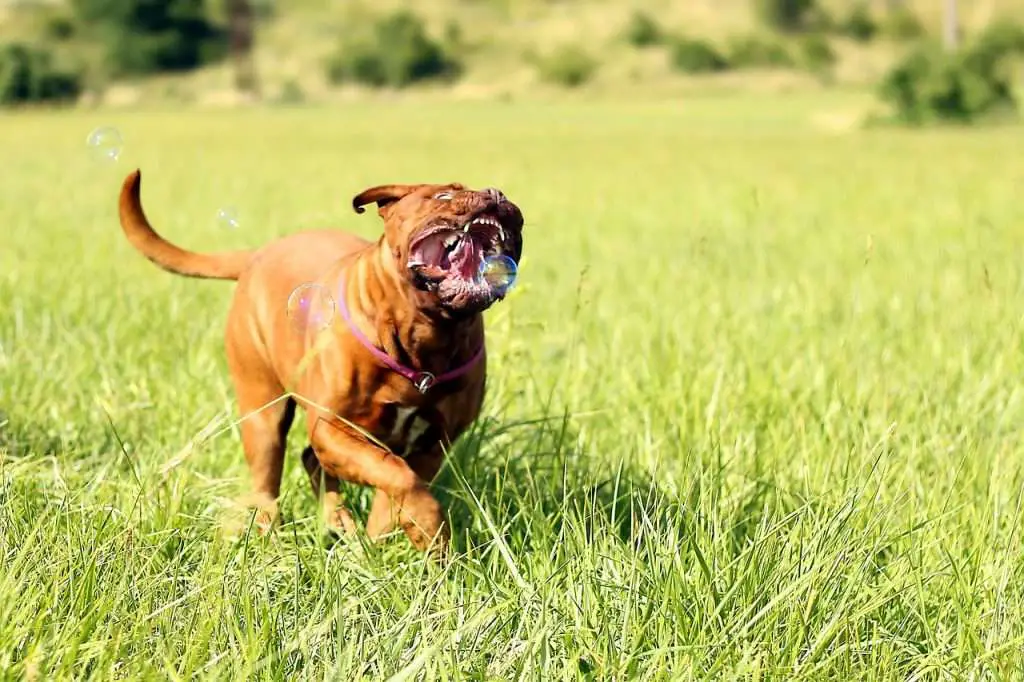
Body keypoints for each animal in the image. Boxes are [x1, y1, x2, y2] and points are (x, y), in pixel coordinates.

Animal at [116, 168, 524, 552]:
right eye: (442, 196)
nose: (497, 194)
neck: (427, 335)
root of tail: (258, 255)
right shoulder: (333, 428)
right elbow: (396, 474)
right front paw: (426, 524)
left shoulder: (434, 443)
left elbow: (395, 488)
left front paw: (387, 537)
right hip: (263, 412)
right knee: (269, 476)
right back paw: (270, 530)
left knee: (312, 460)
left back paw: (340, 523)